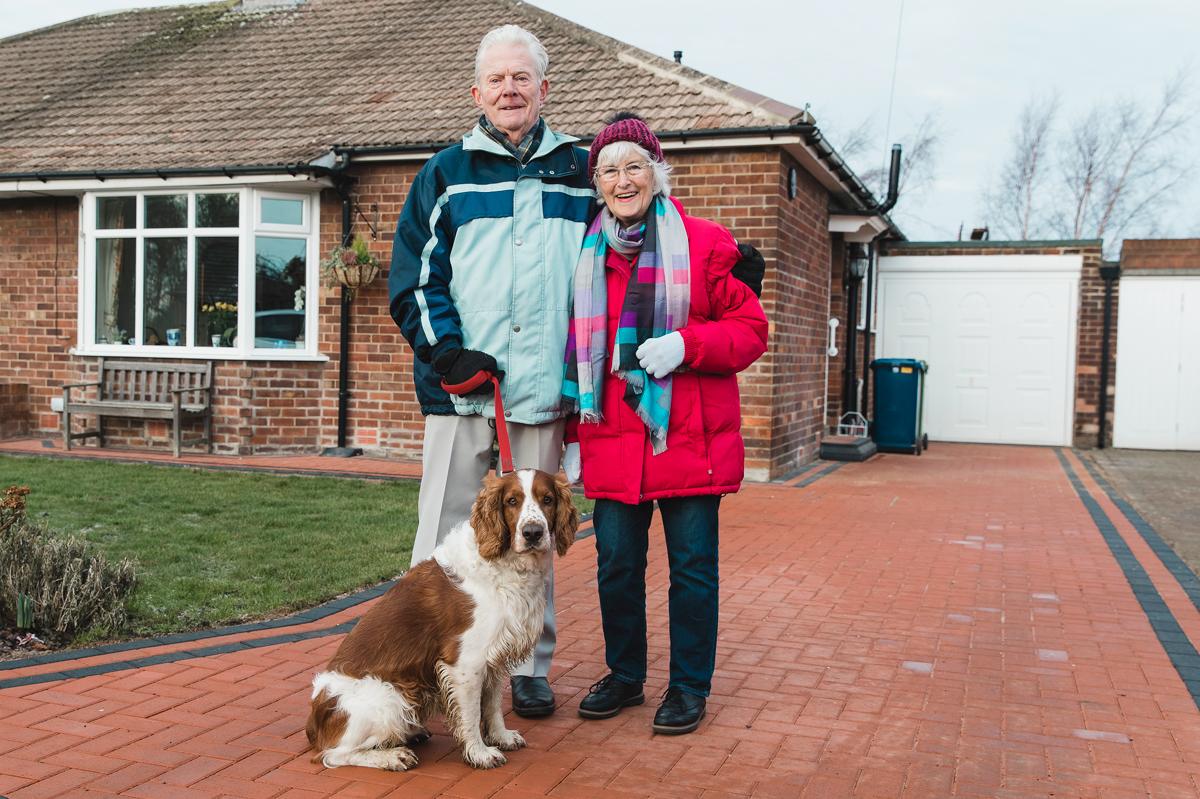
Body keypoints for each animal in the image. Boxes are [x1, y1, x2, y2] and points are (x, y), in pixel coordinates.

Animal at [304, 470, 576, 767]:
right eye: (512, 501)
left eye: (547, 499)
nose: (533, 533)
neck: (504, 564)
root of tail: (314, 722)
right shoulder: (466, 662)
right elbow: (471, 715)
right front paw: (479, 753)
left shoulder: (494, 655)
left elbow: (492, 706)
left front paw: (501, 737)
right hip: (389, 697)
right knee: (335, 754)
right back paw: (392, 756)